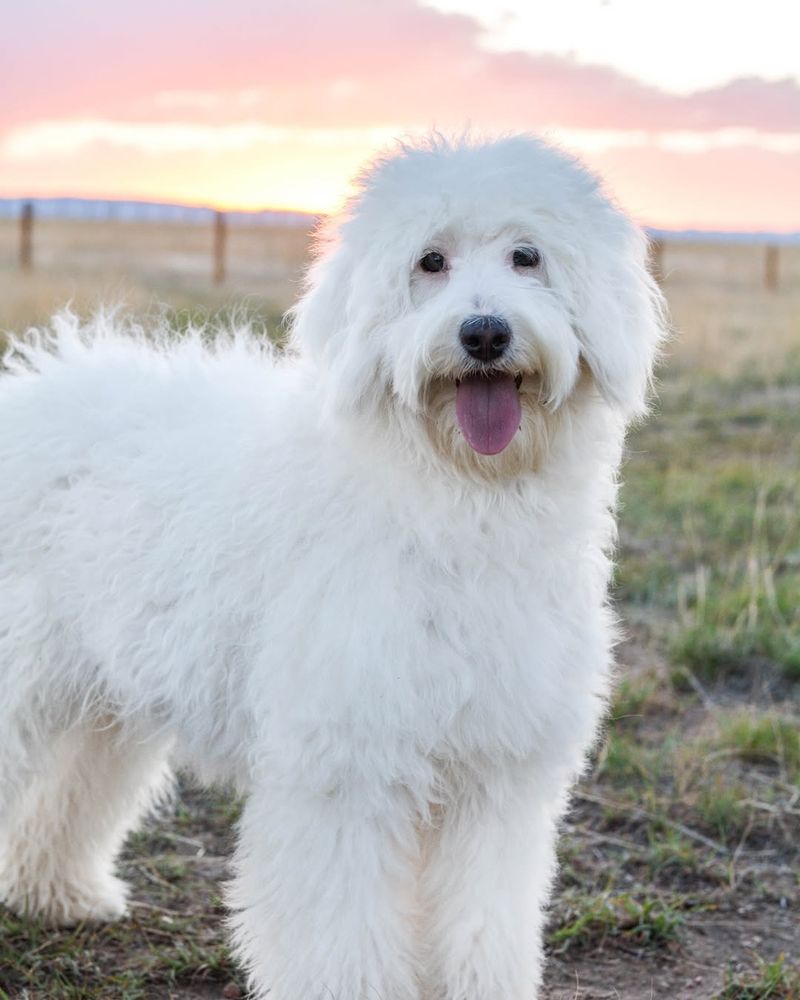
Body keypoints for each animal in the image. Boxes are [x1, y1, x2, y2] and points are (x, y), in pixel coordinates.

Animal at [0, 135, 664, 1000]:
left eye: (528, 256)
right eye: (430, 261)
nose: (485, 334)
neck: (449, 497)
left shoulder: (497, 768)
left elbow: (483, 916)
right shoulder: (348, 761)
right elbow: (345, 926)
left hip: (100, 697)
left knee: (70, 792)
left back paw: (55, 891)